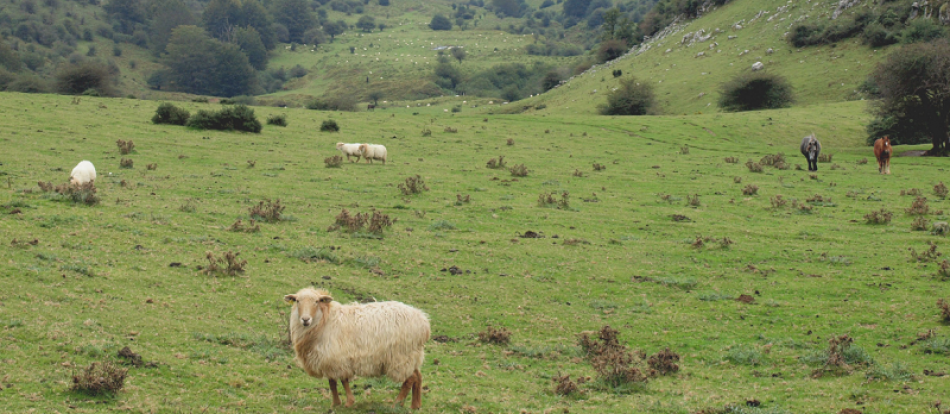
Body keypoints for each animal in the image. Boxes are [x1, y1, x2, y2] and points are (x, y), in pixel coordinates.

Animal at [282, 290, 432, 410]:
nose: (305, 319)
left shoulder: (337, 359)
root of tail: (424, 323)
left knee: (409, 380)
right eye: (297, 301)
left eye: (317, 301)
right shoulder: (331, 359)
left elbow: (341, 381)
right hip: (413, 356)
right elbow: (333, 382)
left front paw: (347, 402)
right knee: (418, 377)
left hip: (401, 357)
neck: (324, 321)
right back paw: (415, 405)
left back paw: (396, 404)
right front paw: (336, 404)